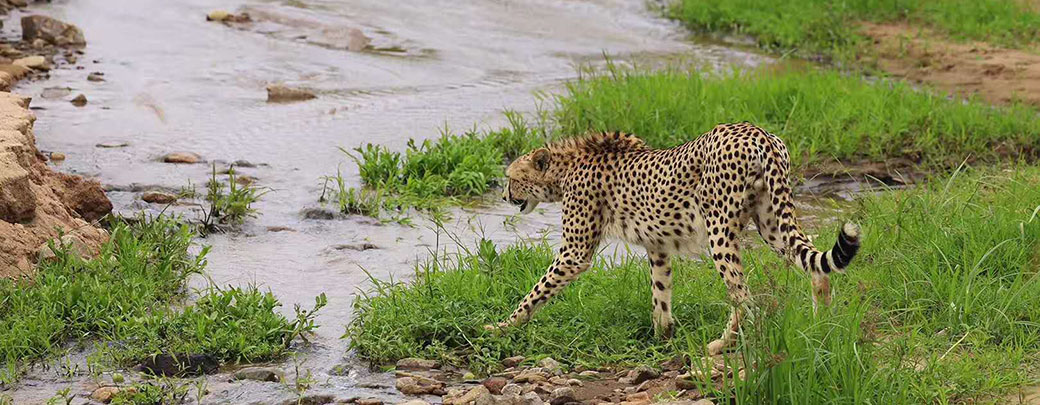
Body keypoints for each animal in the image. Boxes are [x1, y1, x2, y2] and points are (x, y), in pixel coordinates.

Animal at [486, 121, 861, 351]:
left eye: (511, 178)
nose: (503, 195)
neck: (566, 168)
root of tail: (757, 132)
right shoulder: (659, 246)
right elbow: (661, 292)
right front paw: (661, 335)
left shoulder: (574, 254)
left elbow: (537, 291)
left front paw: (503, 326)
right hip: (771, 223)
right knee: (814, 264)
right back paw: (823, 325)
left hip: (719, 231)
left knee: (744, 297)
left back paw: (722, 344)